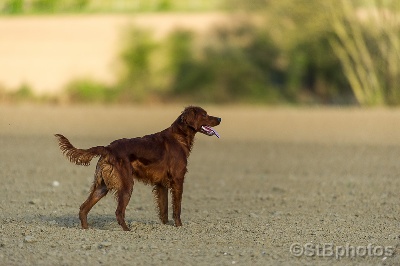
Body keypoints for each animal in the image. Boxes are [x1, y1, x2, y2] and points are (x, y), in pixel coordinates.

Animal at [54, 106, 220, 231]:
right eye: (204, 114)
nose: (219, 119)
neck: (179, 138)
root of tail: (108, 148)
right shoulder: (178, 180)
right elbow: (177, 208)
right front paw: (179, 227)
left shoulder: (161, 185)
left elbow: (164, 209)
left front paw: (165, 227)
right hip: (127, 185)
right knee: (118, 212)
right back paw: (128, 230)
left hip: (102, 186)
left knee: (83, 208)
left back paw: (86, 229)